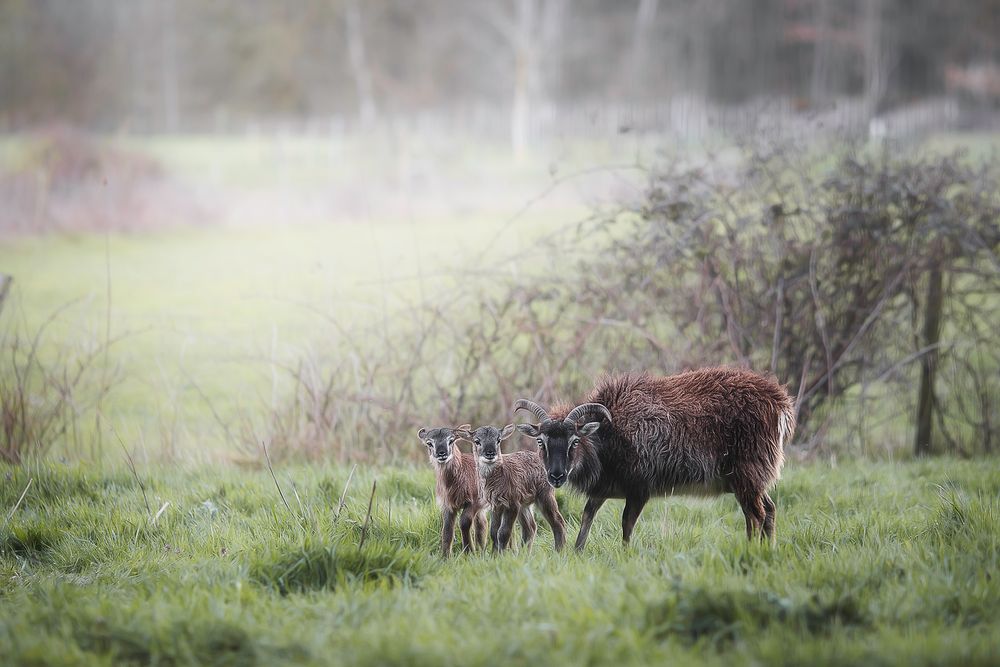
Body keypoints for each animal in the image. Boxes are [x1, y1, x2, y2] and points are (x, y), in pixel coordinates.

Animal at [418, 426, 488, 556]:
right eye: (429, 443)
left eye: (451, 440)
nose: (441, 453)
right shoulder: (447, 505)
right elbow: (447, 529)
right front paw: (445, 556)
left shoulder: (474, 501)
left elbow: (464, 522)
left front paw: (469, 552)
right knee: (482, 524)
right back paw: (482, 550)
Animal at [512, 368, 792, 552]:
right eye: (541, 442)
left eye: (575, 441)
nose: (556, 476)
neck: (610, 435)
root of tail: (780, 404)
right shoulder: (604, 488)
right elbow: (587, 516)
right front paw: (577, 552)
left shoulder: (639, 488)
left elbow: (626, 523)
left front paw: (625, 554)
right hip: (752, 480)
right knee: (769, 510)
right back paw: (768, 550)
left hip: (747, 475)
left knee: (756, 515)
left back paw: (751, 551)